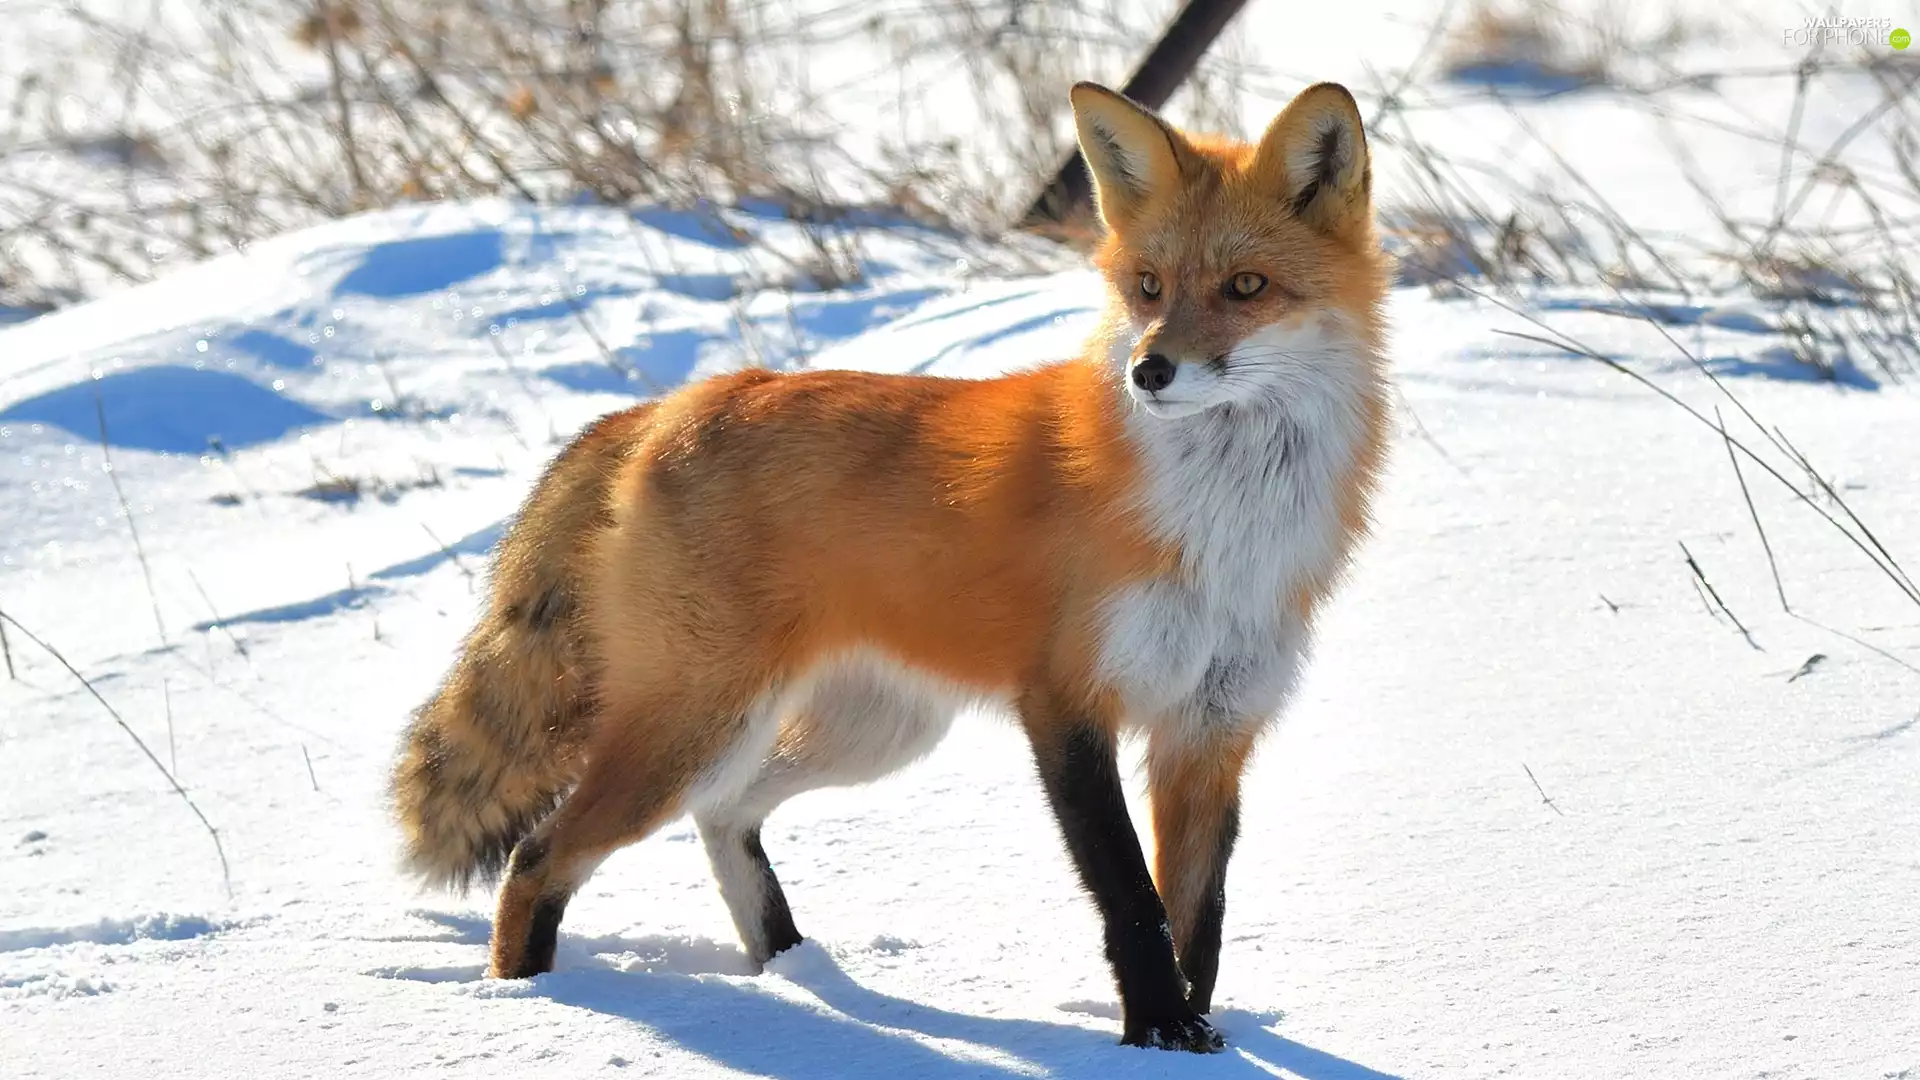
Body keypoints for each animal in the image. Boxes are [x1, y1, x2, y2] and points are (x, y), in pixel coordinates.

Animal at [390, 79, 1390, 1053]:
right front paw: (1157, 1034)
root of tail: (678, 399)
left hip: (869, 731)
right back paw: (529, 1006)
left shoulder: (1213, 727)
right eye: (1149, 287)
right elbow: (1131, 902)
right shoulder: (1067, 703)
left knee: (722, 814)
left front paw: (1201, 1031)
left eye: (1246, 286)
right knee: (538, 857)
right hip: (701, 723)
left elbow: (1201, 918)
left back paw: (791, 971)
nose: (1148, 371)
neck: (1224, 529)